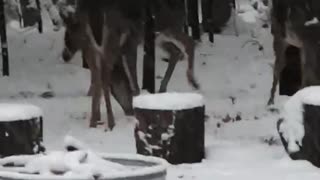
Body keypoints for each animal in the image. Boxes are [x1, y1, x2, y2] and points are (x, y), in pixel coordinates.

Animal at [59, 0, 200, 130]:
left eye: (68, 34)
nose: (64, 55)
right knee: (177, 50)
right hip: (160, 33)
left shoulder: (128, 43)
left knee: (187, 43)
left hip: (164, 27)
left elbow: (126, 74)